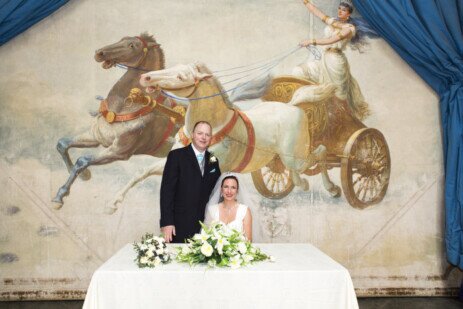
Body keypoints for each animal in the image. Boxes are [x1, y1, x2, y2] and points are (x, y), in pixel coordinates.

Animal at [52, 34, 183, 212]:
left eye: (132, 45)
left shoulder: (118, 152)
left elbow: (83, 160)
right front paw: (84, 176)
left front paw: (60, 197)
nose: (99, 53)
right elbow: (63, 144)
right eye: (122, 39)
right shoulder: (96, 138)